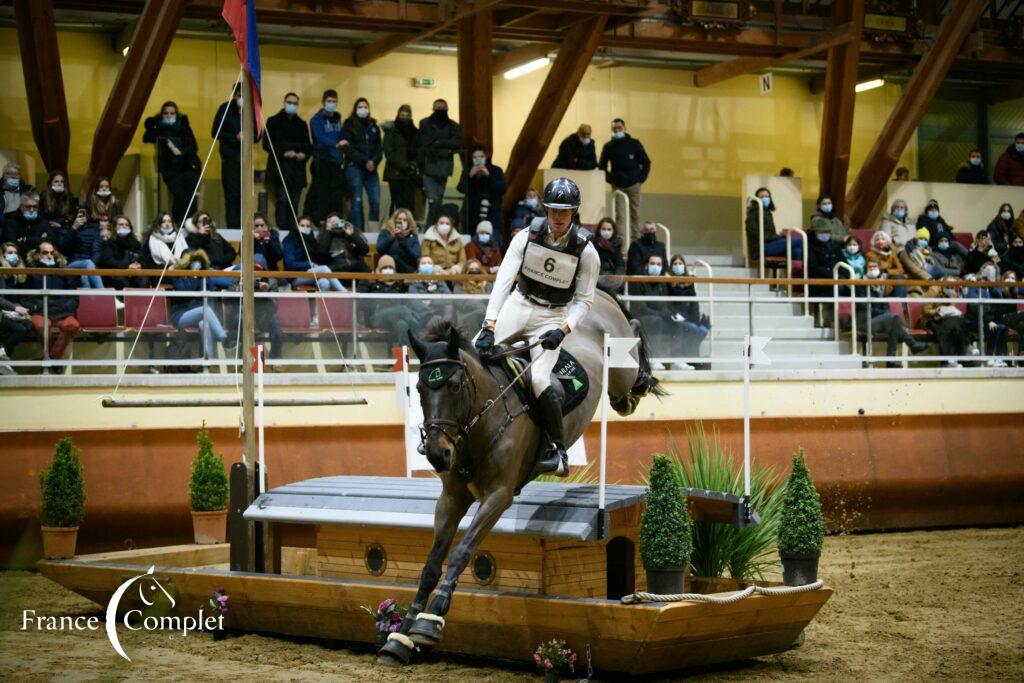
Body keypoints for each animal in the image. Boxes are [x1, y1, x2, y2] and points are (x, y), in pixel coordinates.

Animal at [380, 288, 667, 667]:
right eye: (420, 388)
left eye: (454, 385)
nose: (437, 455)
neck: (479, 422)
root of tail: (600, 295)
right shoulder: (452, 498)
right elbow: (431, 564)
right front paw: (400, 635)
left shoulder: (498, 495)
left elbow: (461, 552)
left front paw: (432, 621)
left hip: (619, 365)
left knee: (630, 358)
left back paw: (640, 371)